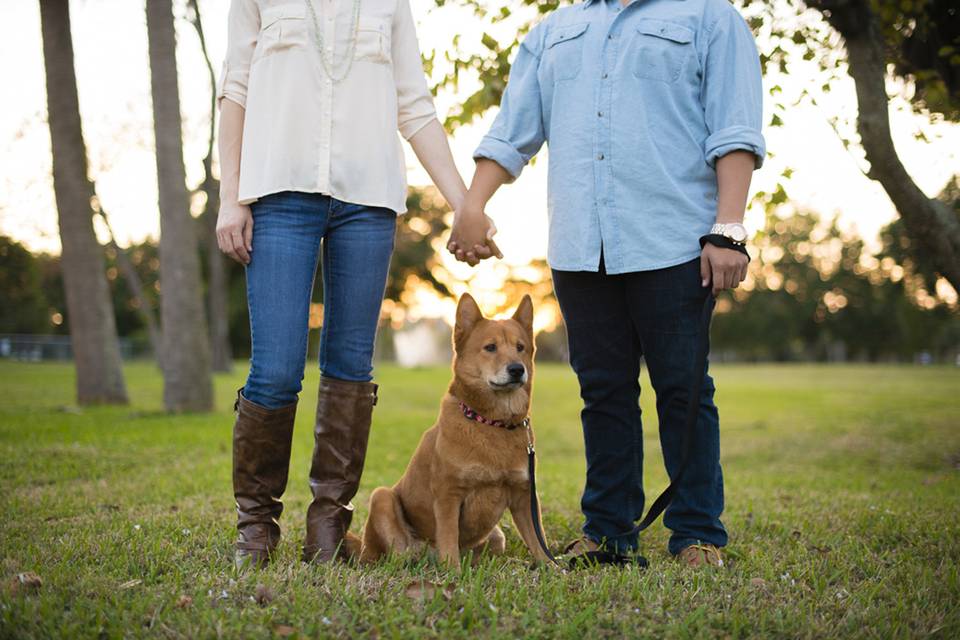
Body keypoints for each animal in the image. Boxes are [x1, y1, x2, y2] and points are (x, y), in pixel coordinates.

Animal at [356, 296, 552, 564]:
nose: (517, 369)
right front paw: (453, 572)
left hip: (496, 536)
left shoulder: (524, 496)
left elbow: (538, 542)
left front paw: (553, 568)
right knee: (399, 555)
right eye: (490, 347)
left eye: (520, 347)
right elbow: (449, 543)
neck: (492, 423)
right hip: (382, 498)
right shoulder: (448, 495)